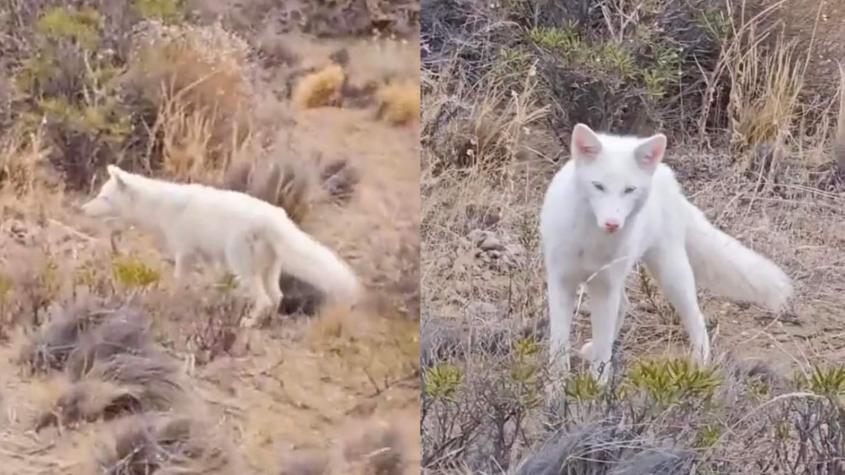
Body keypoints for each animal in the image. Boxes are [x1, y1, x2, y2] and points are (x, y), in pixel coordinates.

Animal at [82, 165, 362, 328]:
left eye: (104, 197)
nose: (83, 209)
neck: (159, 206)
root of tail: (277, 218)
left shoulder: (185, 253)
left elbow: (179, 282)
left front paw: (173, 301)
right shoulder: (208, 258)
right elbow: (211, 283)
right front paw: (208, 302)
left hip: (243, 268)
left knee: (264, 300)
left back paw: (248, 323)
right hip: (268, 271)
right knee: (277, 297)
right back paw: (265, 323)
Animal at [540, 123, 792, 386]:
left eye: (629, 190)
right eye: (598, 186)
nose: (612, 224)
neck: (591, 241)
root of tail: (667, 176)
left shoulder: (605, 287)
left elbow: (602, 356)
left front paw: (595, 391)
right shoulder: (562, 282)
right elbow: (559, 351)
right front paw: (555, 392)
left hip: (670, 274)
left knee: (696, 320)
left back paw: (698, 369)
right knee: (625, 306)